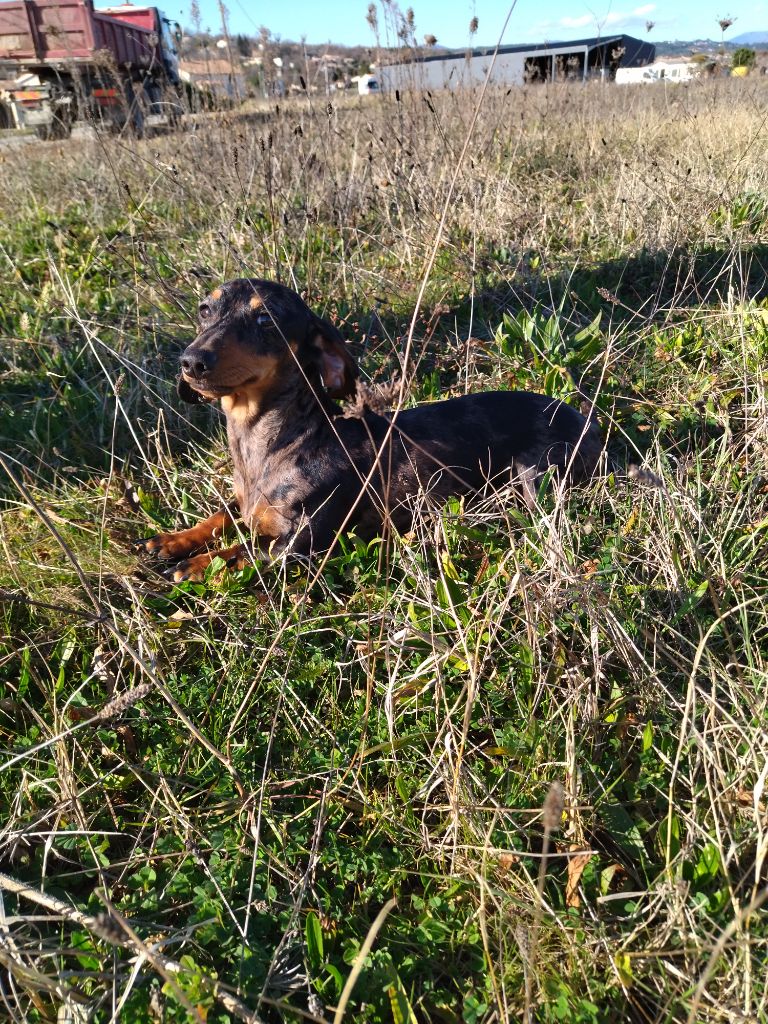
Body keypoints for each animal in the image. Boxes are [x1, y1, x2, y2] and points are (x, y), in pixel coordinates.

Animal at [140, 280, 606, 581]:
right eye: (205, 310)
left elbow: (250, 549)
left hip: (533, 477)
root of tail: (586, 419)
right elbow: (224, 513)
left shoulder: (305, 543)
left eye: (265, 319)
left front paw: (200, 564)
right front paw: (174, 540)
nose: (191, 362)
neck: (273, 446)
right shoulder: (249, 506)